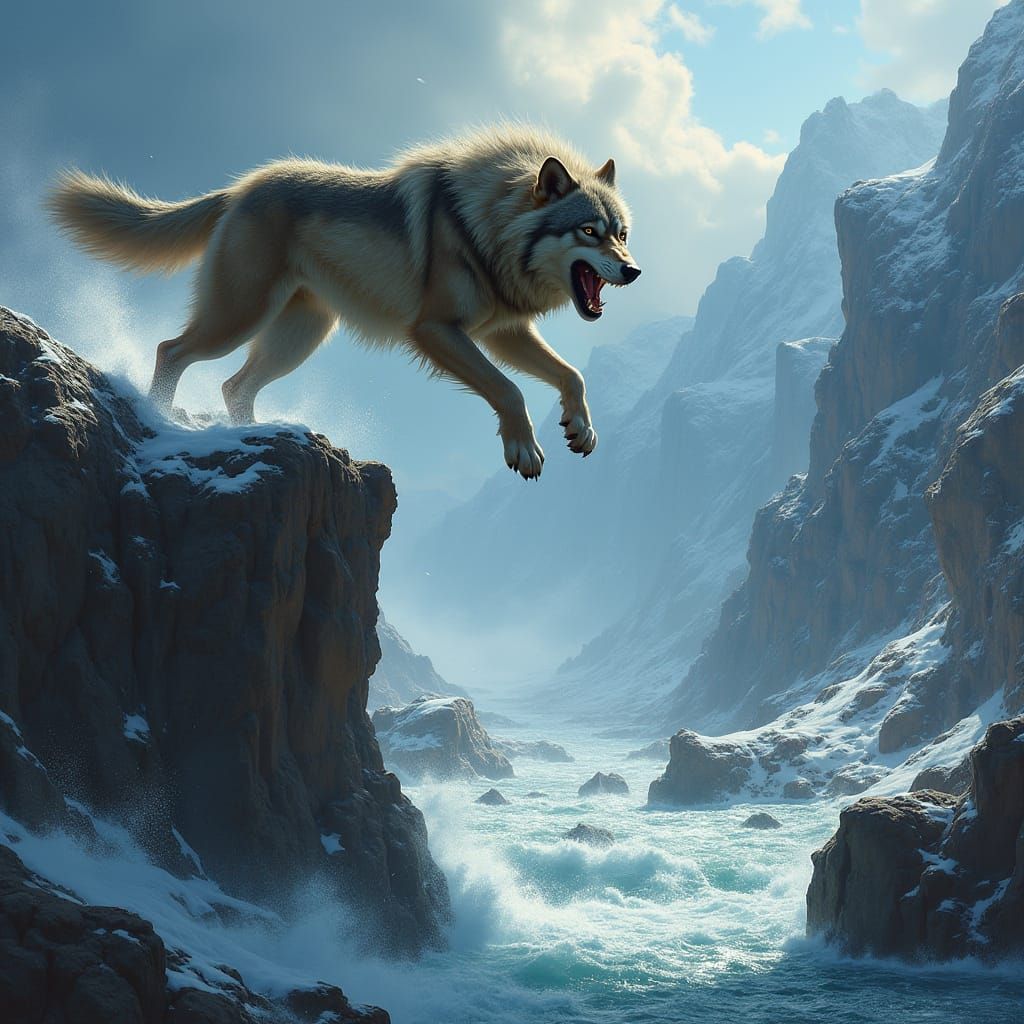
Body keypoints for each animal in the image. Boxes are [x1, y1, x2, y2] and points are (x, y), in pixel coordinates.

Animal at [48, 124, 641, 479]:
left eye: (622, 234)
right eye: (589, 231)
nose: (634, 271)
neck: (486, 224)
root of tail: (240, 189)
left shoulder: (502, 332)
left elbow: (570, 375)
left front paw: (581, 427)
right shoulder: (436, 330)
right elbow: (509, 389)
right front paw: (523, 448)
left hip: (300, 336)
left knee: (233, 385)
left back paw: (254, 433)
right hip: (240, 319)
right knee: (171, 351)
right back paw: (161, 418)